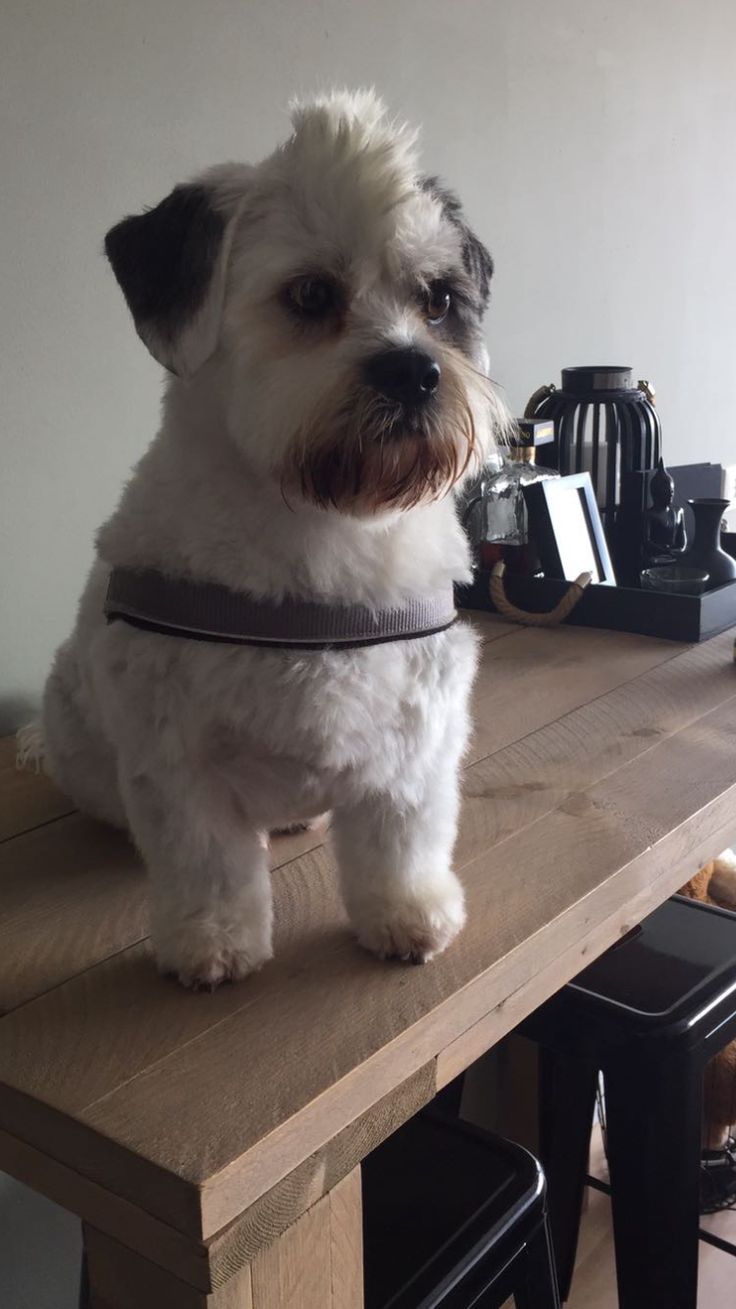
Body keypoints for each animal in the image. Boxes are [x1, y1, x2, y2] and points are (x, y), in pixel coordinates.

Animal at [31, 92, 508, 984]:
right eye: (313, 294)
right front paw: (212, 940)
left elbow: (401, 841)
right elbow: (207, 861)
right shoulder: (174, 754)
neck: (322, 530)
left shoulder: (415, 736)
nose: (413, 370)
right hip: (78, 730)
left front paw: (406, 914)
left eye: (437, 300)